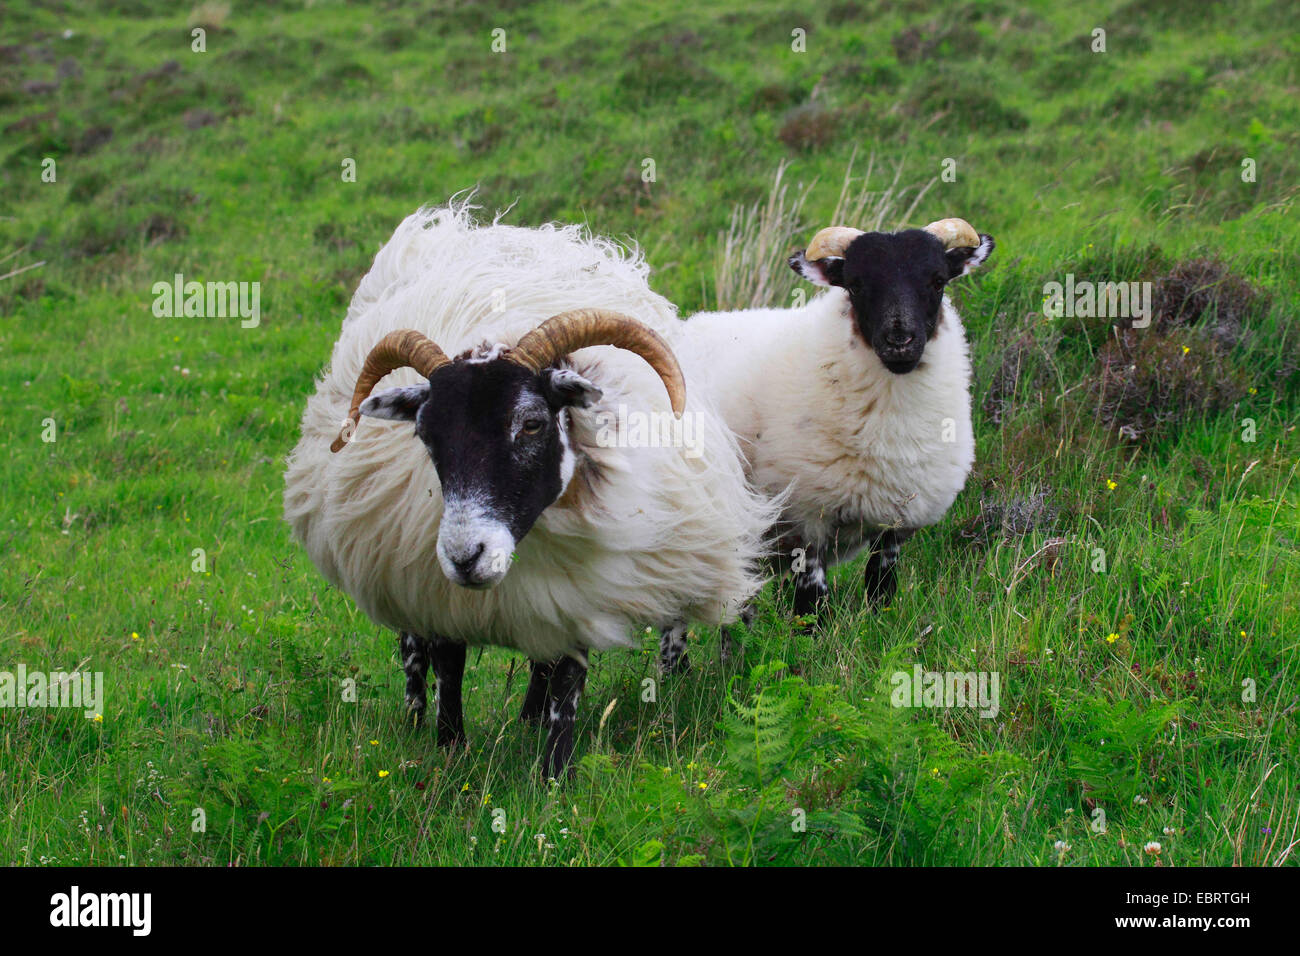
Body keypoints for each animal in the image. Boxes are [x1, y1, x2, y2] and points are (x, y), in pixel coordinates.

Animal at [283, 204, 774, 780]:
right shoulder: (439, 592)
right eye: (425, 434)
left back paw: (530, 718)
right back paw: (414, 719)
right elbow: (448, 667)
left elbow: (567, 681)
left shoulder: (582, 590)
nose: (465, 556)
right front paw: (449, 753)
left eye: (533, 423)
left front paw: (554, 777)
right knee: (412, 651)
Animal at [660, 217, 993, 671]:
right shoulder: (806, 521)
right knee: (673, 622)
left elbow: (881, 593)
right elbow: (811, 610)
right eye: (854, 284)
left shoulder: (893, 527)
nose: (900, 340)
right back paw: (676, 677)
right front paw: (809, 659)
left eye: (938, 279)